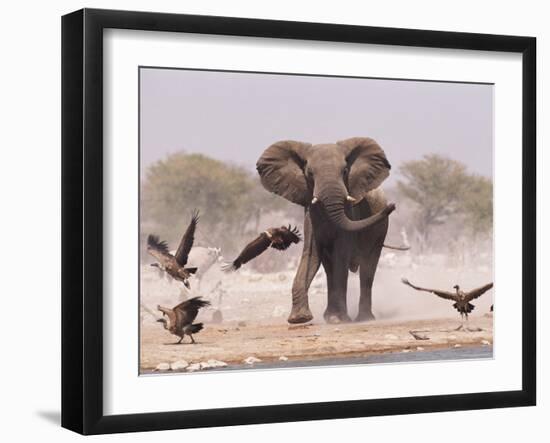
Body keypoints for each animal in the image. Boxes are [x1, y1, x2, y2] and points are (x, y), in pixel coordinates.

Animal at [256, 137, 394, 324]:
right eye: (310, 173)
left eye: (345, 171)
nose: (392, 206)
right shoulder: (310, 214)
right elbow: (311, 254)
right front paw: (300, 319)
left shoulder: (349, 213)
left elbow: (340, 255)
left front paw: (340, 320)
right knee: (330, 268)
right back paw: (331, 316)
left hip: (380, 231)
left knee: (367, 267)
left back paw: (364, 318)